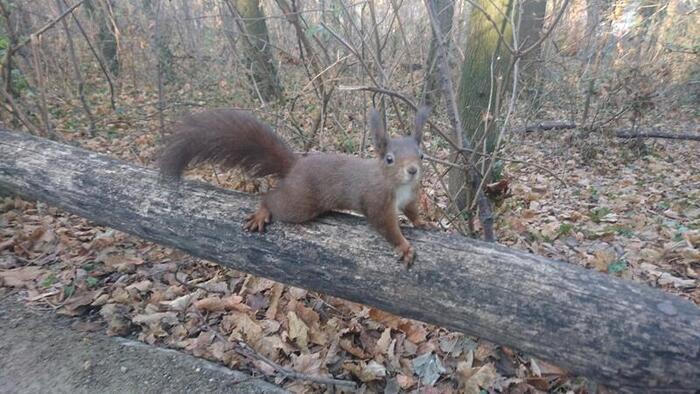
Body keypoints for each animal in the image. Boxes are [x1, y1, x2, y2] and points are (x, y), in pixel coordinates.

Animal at [161, 107, 430, 264]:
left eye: (421, 155)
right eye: (389, 159)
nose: (413, 170)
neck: (396, 184)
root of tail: (295, 165)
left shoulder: (409, 197)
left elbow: (412, 211)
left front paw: (422, 222)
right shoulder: (376, 202)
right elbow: (387, 227)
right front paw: (404, 246)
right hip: (299, 204)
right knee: (272, 198)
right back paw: (262, 212)